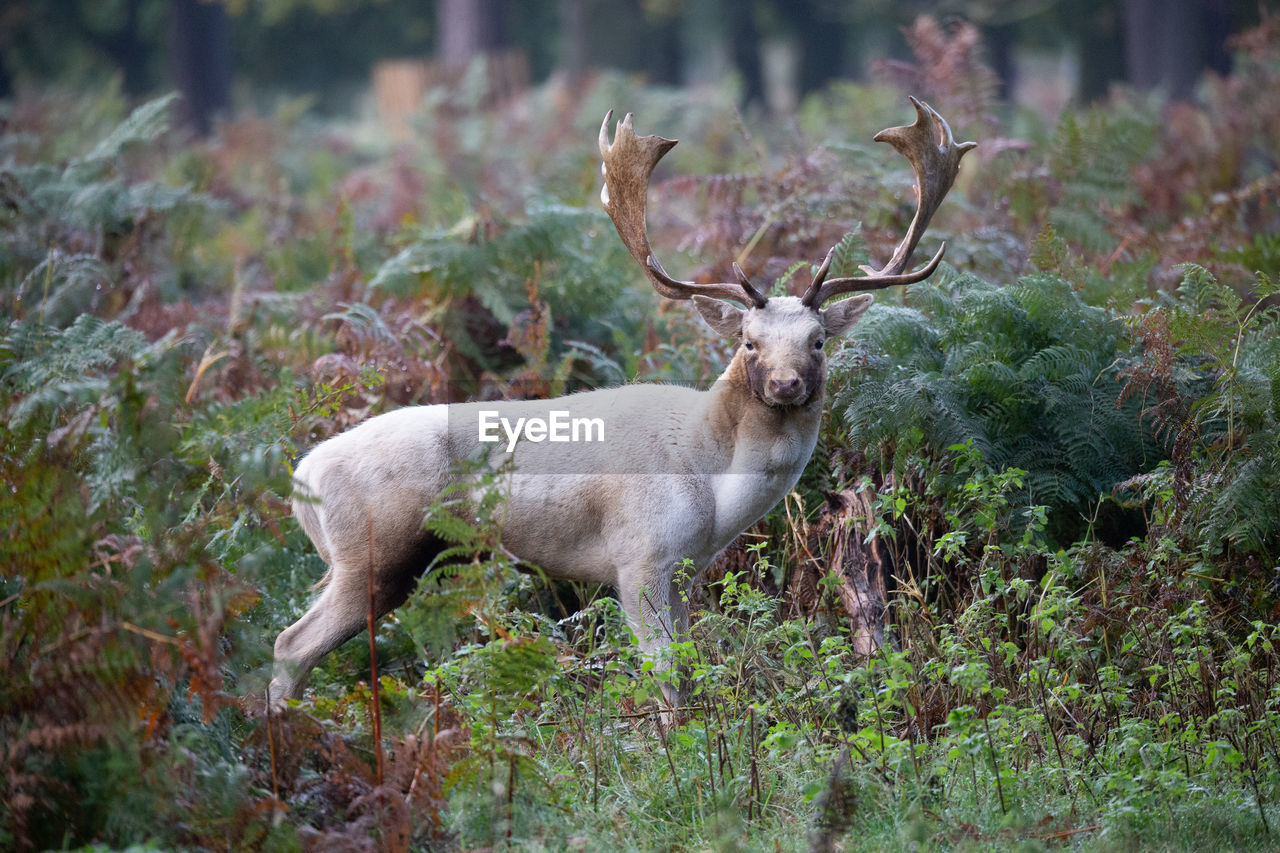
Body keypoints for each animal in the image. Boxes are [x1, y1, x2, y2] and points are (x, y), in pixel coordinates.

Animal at [270, 97, 967, 701]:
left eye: (819, 340)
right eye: (748, 341)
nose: (785, 384)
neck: (715, 486)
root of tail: (303, 478)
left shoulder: (687, 570)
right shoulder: (639, 558)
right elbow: (665, 674)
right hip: (374, 552)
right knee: (288, 644)